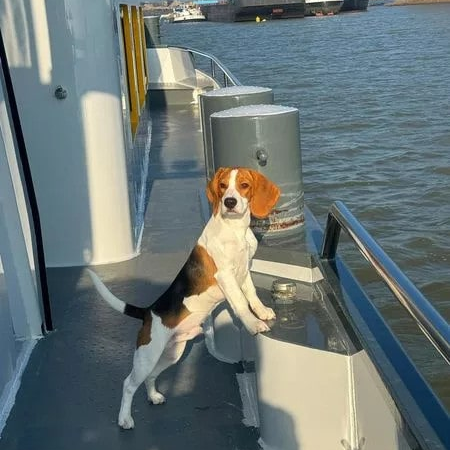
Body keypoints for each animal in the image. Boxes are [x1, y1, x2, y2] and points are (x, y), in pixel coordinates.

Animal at [86, 166, 280, 428]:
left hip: (171, 354)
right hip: (147, 355)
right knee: (128, 384)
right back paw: (125, 419)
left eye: (244, 185)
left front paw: (262, 312)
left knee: (151, 377)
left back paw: (154, 396)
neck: (234, 230)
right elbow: (240, 302)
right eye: (222, 185)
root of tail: (148, 311)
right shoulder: (226, 275)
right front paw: (253, 324)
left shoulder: (244, 271)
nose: (229, 202)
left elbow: (251, 295)